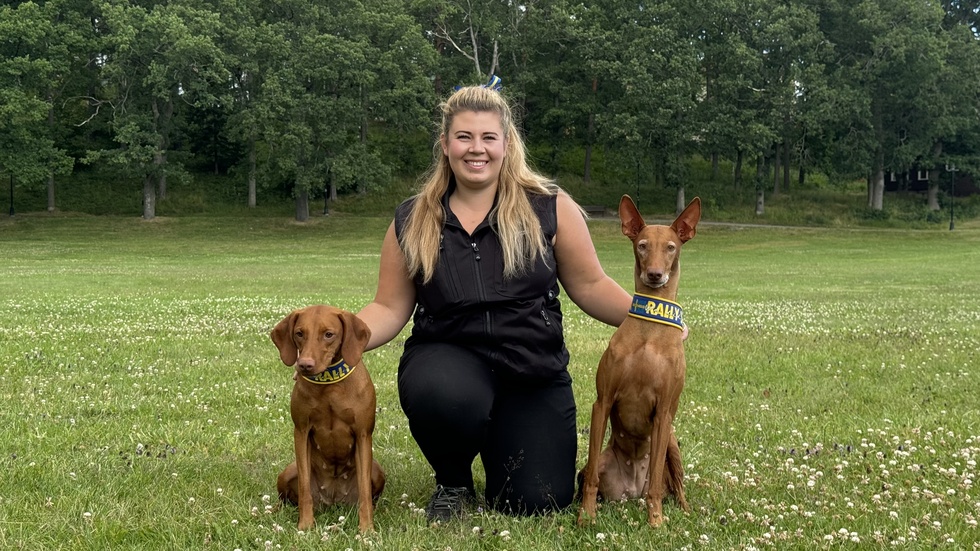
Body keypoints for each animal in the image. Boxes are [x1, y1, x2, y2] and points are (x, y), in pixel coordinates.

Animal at [272, 306, 390, 536]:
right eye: (299, 333)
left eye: (328, 334)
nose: (304, 365)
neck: (329, 385)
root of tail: (334, 500)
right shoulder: (301, 431)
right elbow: (304, 488)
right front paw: (305, 524)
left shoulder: (363, 434)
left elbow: (364, 491)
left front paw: (366, 529)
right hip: (287, 472)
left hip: (377, 471)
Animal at [580, 196, 700, 528]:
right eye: (643, 245)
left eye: (671, 247)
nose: (655, 275)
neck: (649, 333)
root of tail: (632, 490)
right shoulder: (603, 402)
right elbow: (591, 475)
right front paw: (585, 516)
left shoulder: (663, 413)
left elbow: (658, 482)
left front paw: (656, 521)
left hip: (672, 442)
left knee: (675, 485)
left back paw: (684, 510)